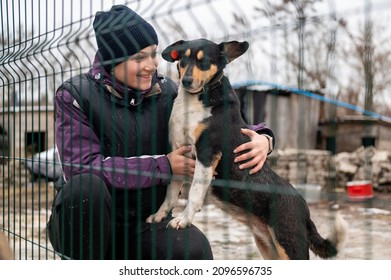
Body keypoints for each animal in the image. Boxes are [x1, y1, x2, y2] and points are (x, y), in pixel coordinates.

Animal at [146, 39, 346, 260]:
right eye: (182, 59)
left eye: (204, 61)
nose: (186, 81)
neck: (197, 98)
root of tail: (306, 212)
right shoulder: (178, 153)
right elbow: (171, 193)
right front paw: (160, 215)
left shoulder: (207, 154)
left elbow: (195, 194)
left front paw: (183, 220)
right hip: (268, 248)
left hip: (291, 246)